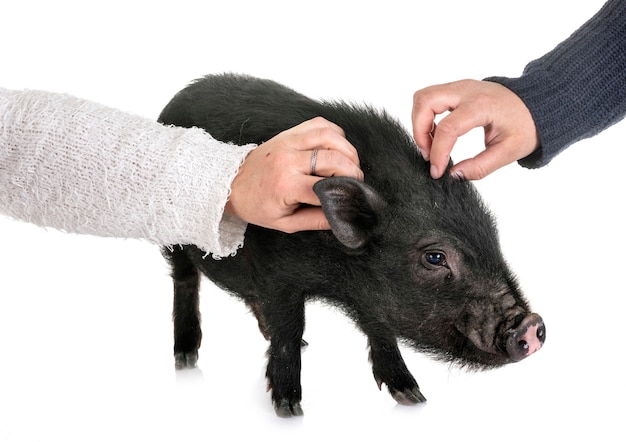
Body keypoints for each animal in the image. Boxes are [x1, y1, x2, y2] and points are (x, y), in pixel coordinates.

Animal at [156, 73, 540, 418]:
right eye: (435, 257)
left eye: (492, 237)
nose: (532, 324)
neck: (339, 279)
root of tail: (176, 98)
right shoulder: (276, 275)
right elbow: (289, 329)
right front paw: (289, 409)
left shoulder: (368, 294)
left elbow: (379, 328)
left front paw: (412, 397)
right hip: (172, 238)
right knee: (185, 280)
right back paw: (185, 357)